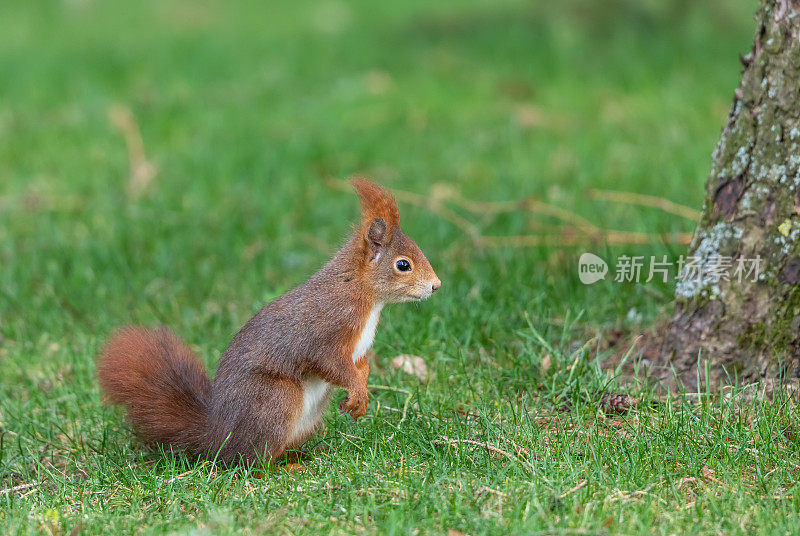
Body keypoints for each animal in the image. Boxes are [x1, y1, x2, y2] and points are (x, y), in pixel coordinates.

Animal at [98, 180, 444, 464]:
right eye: (403, 265)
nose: (436, 286)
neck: (362, 295)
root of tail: (218, 438)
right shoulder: (326, 331)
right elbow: (330, 363)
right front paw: (358, 391)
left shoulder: (356, 349)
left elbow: (359, 366)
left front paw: (363, 387)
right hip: (276, 399)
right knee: (251, 462)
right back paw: (283, 468)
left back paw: (303, 454)